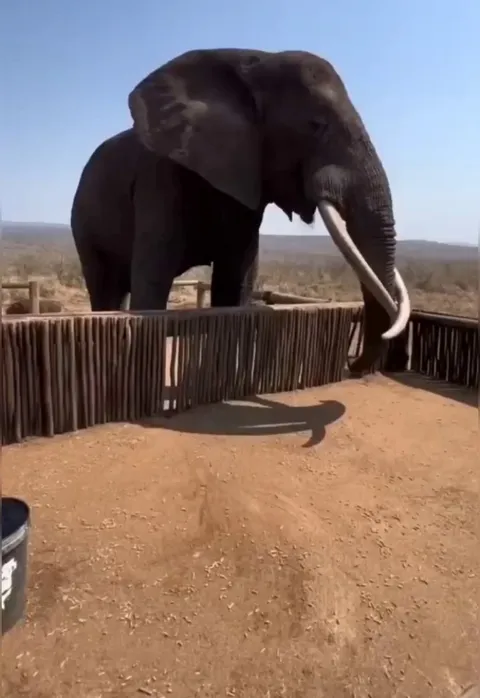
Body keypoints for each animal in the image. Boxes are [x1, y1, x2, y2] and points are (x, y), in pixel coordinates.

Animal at [127, 48, 412, 375]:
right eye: (315, 125)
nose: (350, 363)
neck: (255, 59)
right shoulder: (159, 176)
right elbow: (153, 277)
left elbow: (236, 278)